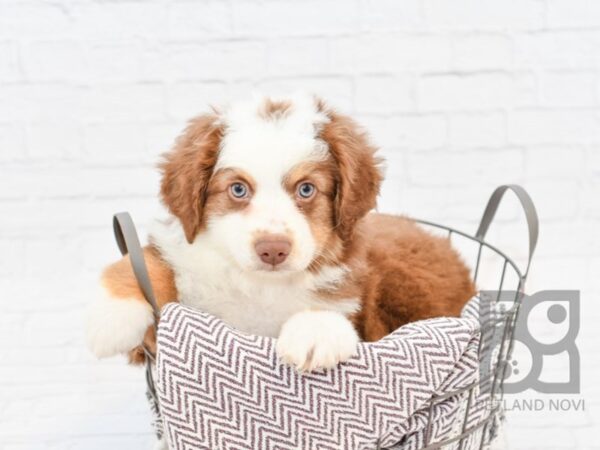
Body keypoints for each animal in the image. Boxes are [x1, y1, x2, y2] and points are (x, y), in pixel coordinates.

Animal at [86, 94, 476, 370]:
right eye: (238, 189)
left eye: (306, 189)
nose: (273, 249)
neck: (260, 287)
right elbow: (145, 260)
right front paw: (109, 318)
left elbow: (332, 307)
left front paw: (314, 332)